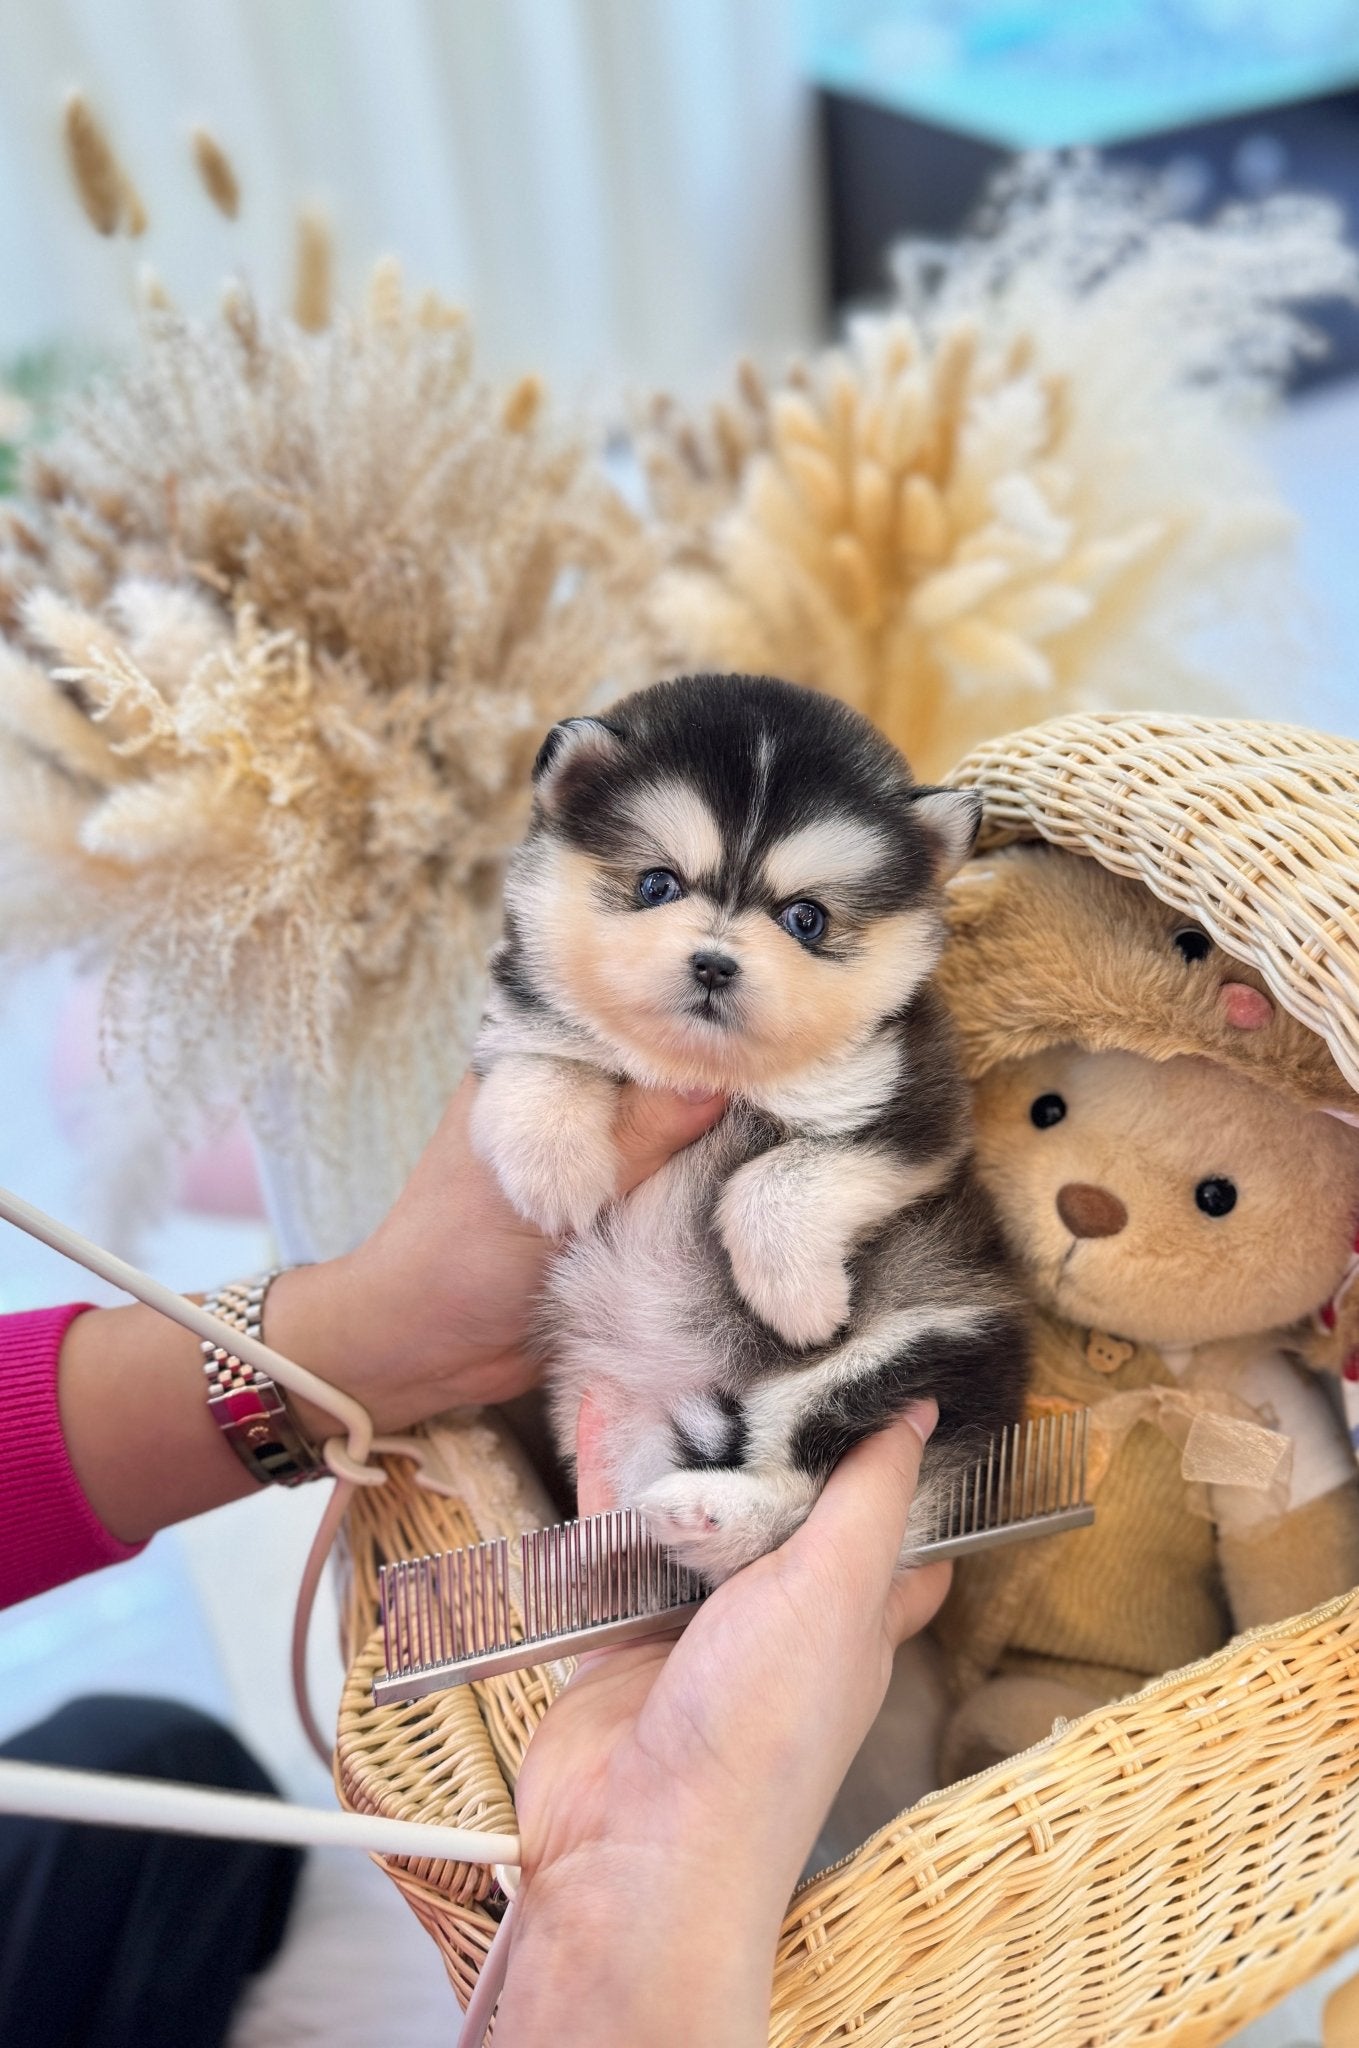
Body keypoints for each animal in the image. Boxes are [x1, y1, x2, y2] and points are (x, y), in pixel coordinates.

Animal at [472, 679, 1023, 1572]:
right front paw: (555, 1172)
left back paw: (713, 1513)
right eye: (656, 884)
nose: (713, 963)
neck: (711, 1072)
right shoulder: (514, 1022)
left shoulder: (915, 1106)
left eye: (805, 919)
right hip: (611, 1407)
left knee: (801, 1489)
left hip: (907, 1346)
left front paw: (797, 1296)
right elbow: (540, 1065)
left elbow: (777, 1178)